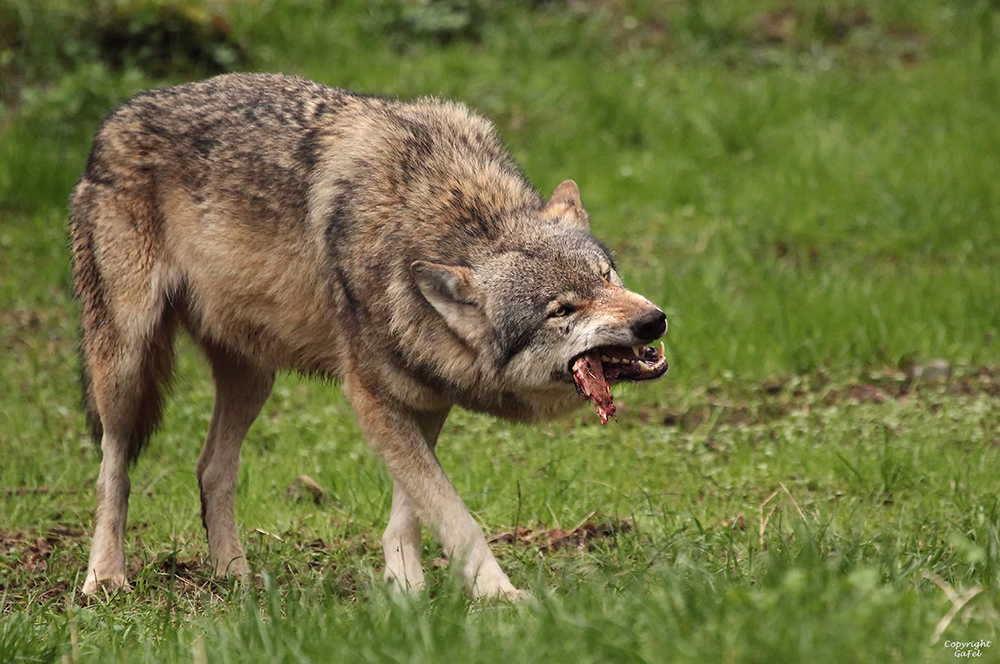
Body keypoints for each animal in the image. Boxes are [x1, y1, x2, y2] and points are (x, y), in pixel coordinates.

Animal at [68, 71, 664, 596]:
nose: (653, 320)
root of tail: (112, 121)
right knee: (112, 467)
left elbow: (412, 509)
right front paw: (501, 597)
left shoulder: (423, 395)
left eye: (606, 277)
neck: (454, 213)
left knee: (211, 469)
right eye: (560, 310)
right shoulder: (371, 397)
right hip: (125, 366)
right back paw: (105, 577)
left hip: (254, 378)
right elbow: (453, 514)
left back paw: (235, 578)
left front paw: (405, 586)